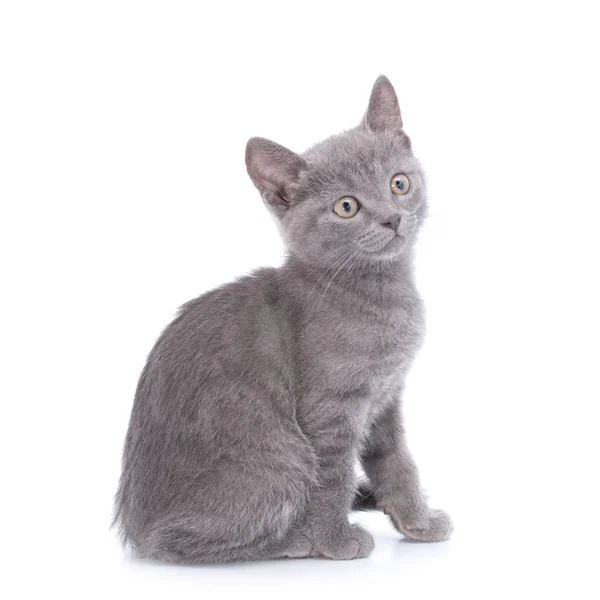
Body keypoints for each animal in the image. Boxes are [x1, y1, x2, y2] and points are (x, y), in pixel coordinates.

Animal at [113, 74, 454, 564]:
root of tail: (135, 527)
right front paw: (335, 541)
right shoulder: (330, 408)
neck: (379, 291)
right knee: (177, 542)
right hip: (282, 455)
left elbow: (397, 462)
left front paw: (418, 523)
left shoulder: (386, 399)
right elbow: (333, 476)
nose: (392, 218)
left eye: (399, 183)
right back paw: (298, 540)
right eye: (346, 207)